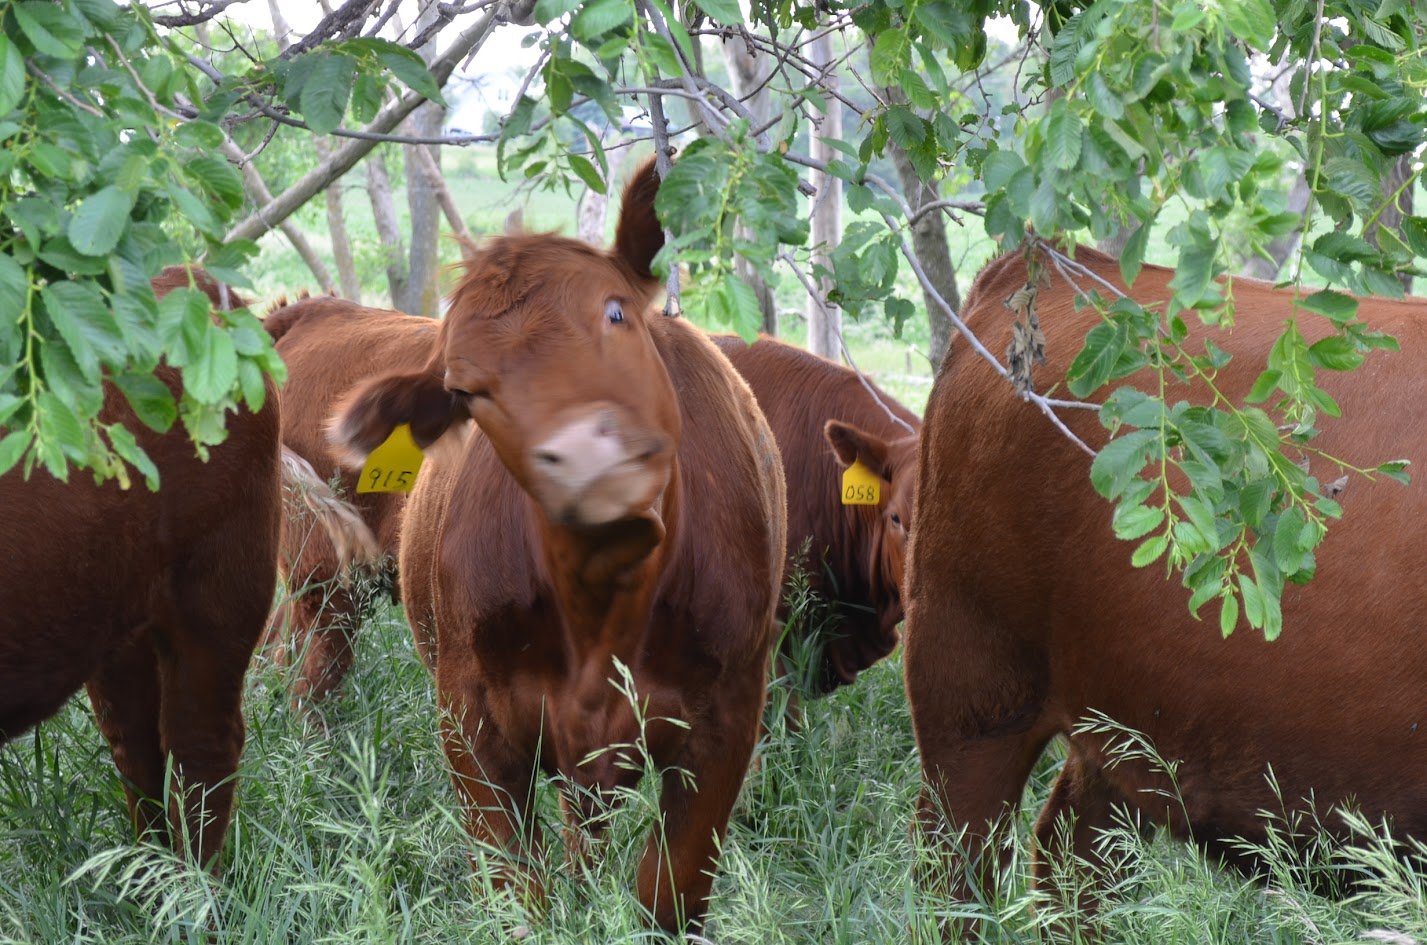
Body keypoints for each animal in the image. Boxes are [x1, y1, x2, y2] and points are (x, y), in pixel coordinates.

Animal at [328, 159, 787, 931]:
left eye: (614, 311)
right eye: (466, 391)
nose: (582, 459)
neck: (602, 601)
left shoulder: (726, 724)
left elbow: (667, 892)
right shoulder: (471, 723)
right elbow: (519, 893)